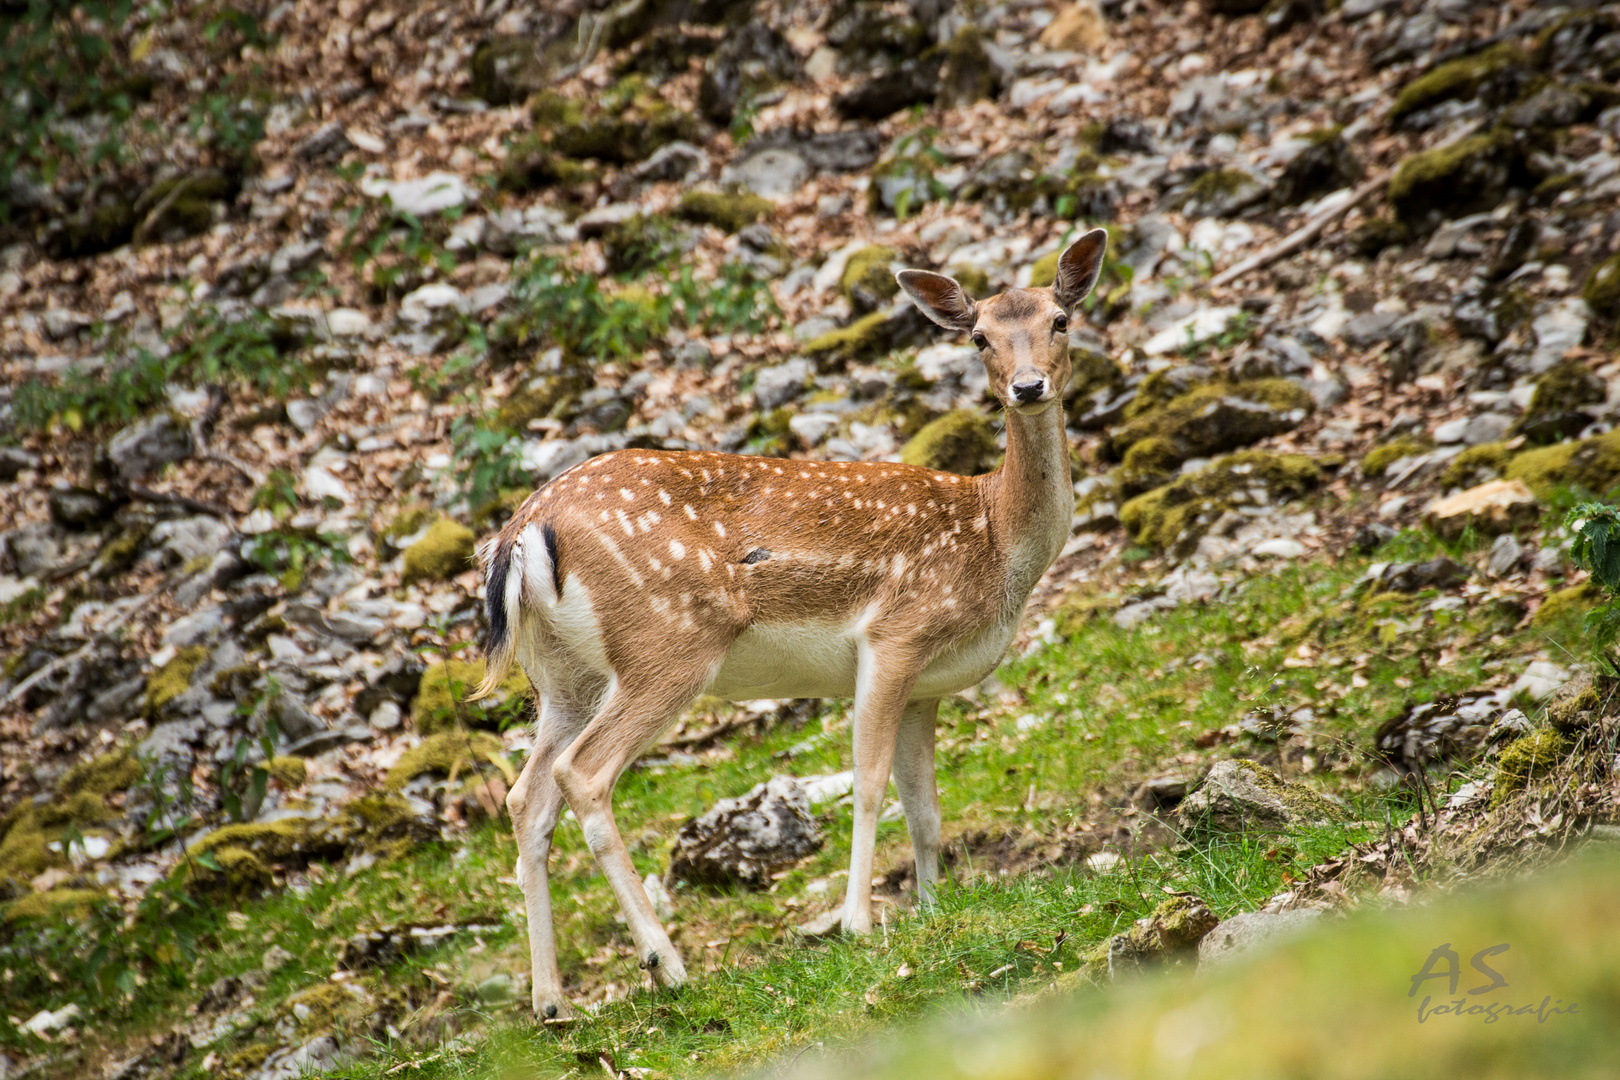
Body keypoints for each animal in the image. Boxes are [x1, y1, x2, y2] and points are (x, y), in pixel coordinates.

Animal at [476, 229, 1114, 1023]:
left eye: (1060, 320)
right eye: (979, 338)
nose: (1027, 387)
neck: (994, 540)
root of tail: (522, 533)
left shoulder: (928, 687)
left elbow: (926, 808)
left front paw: (933, 909)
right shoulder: (895, 634)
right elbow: (869, 784)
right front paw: (860, 924)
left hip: (564, 675)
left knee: (526, 796)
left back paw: (552, 1001)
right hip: (667, 643)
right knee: (582, 774)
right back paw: (668, 965)